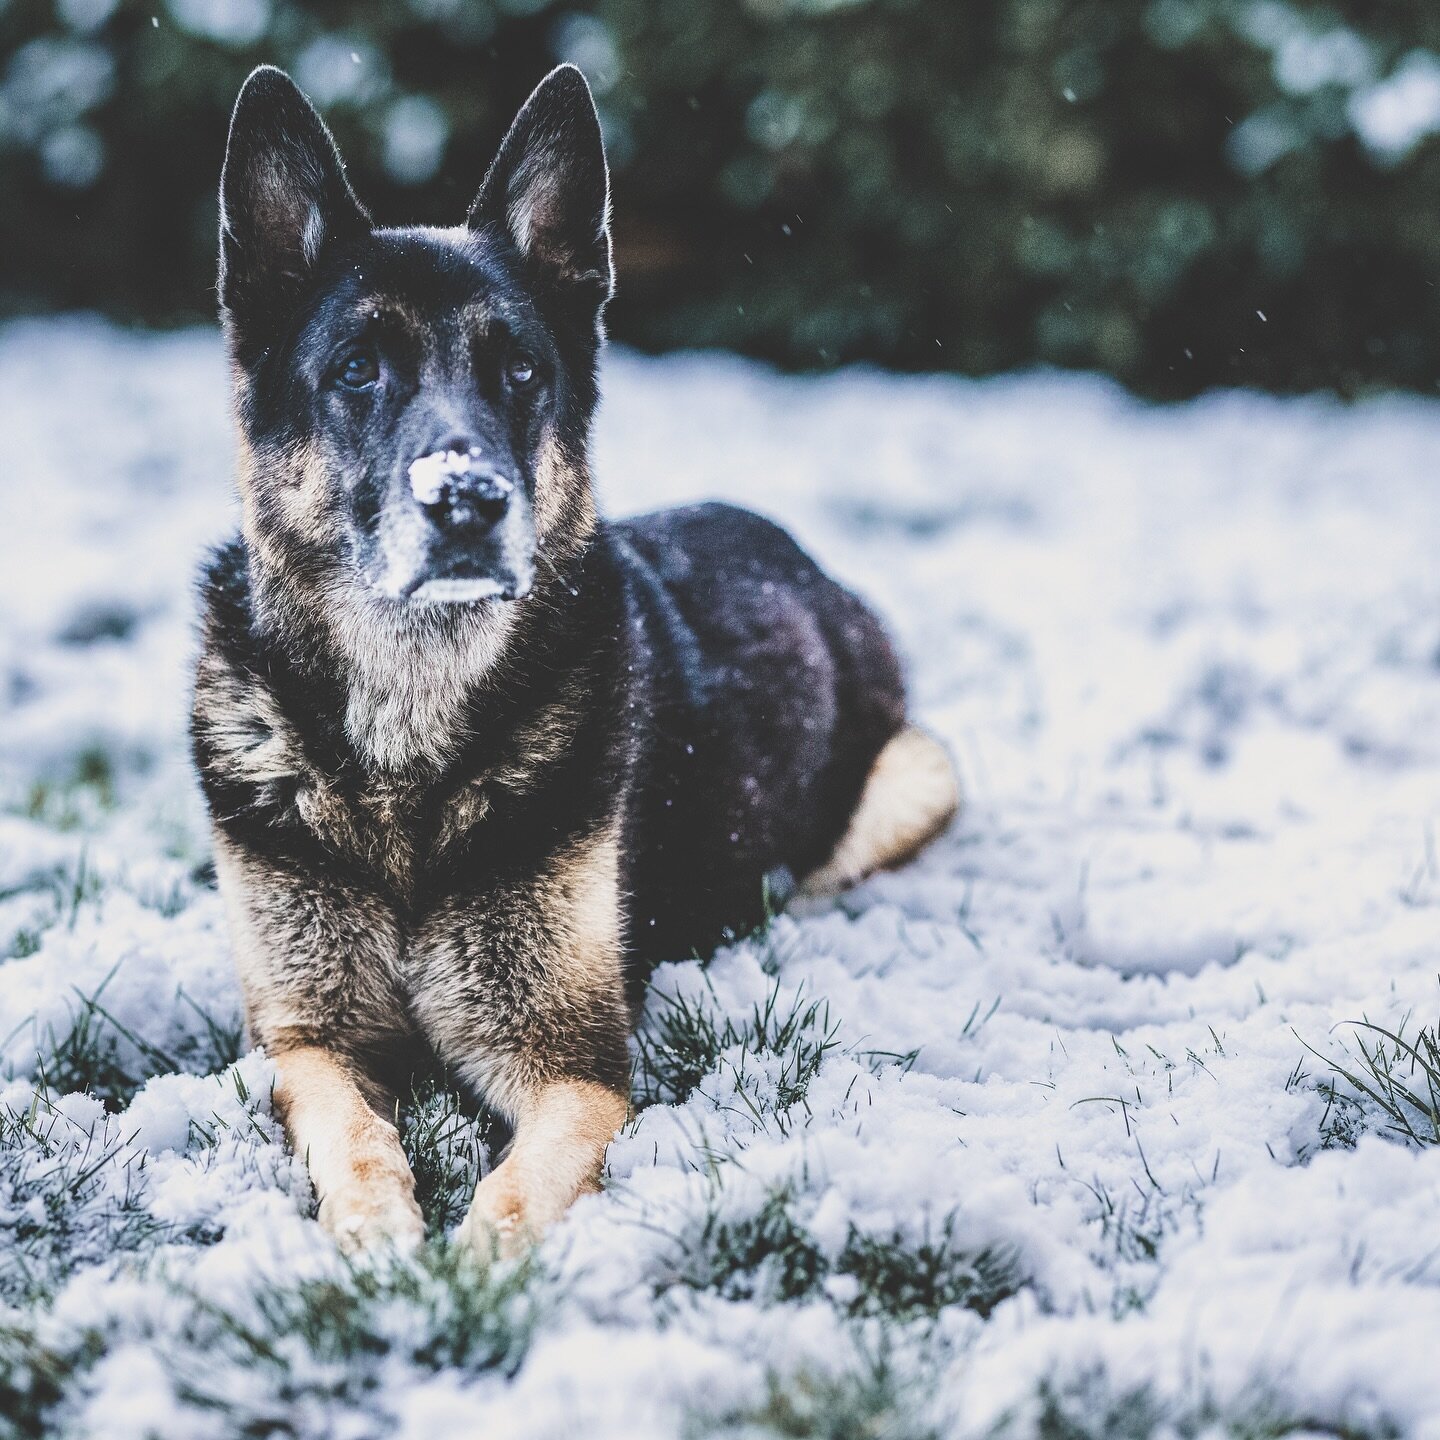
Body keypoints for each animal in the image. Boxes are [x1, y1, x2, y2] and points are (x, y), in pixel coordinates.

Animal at [191, 61, 956, 1255]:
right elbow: (350, 1129)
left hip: (911, 780)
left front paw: (472, 1269)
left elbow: (521, 1187)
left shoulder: (574, 1067)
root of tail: (791, 545)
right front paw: (378, 1227)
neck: (409, 750)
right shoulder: (305, 1036)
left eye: (517, 372)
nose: (467, 500)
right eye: (357, 370)